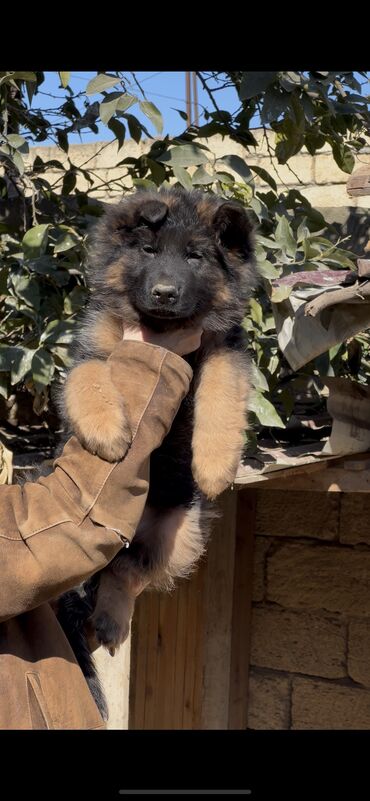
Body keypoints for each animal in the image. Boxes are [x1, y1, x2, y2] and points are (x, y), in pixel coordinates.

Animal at [57, 189, 258, 720]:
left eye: (195, 257)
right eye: (148, 252)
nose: (165, 293)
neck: (163, 329)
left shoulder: (225, 350)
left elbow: (222, 390)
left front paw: (214, 464)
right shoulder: (92, 349)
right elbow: (91, 378)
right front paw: (107, 432)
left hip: (180, 535)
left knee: (128, 571)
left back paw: (111, 618)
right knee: (114, 569)